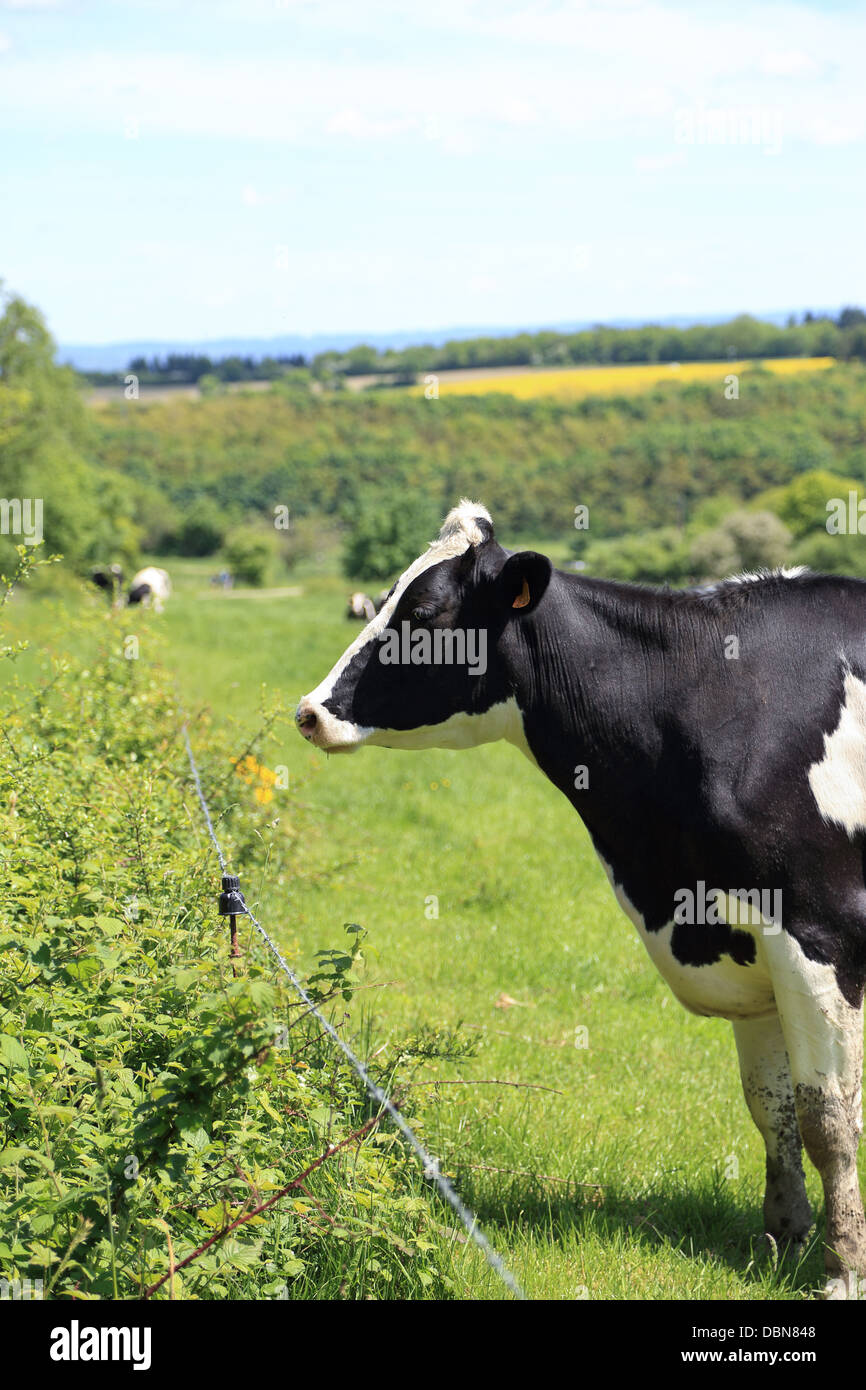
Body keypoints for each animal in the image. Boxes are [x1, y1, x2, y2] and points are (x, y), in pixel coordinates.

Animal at [296, 499, 866, 1300]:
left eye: (426, 612)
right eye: (383, 598)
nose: (310, 712)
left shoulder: (820, 935)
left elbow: (828, 1121)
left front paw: (842, 1271)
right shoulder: (746, 940)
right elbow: (771, 1105)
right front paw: (783, 1240)